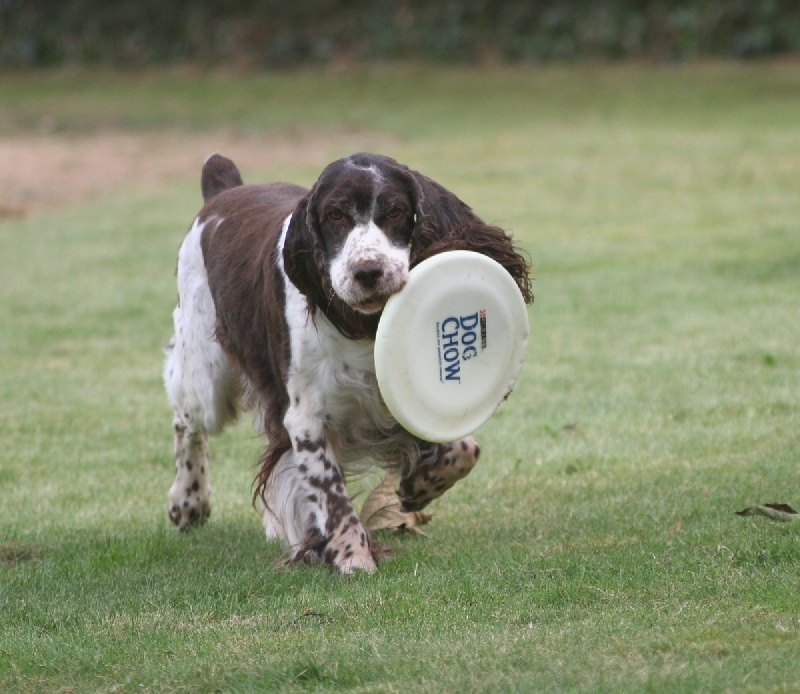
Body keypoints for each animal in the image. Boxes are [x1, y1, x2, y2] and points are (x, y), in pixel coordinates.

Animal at [164, 152, 532, 576]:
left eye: (395, 210)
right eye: (335, 215)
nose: (368, 271)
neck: (364, 327)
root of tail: (223, 190)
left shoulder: (394, 403)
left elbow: (464, 448)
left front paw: (418, 487)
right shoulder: (306, 416)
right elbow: (330, 492)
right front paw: (352, 556)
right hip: (206, 378)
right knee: (186, 420)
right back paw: (188, 503)